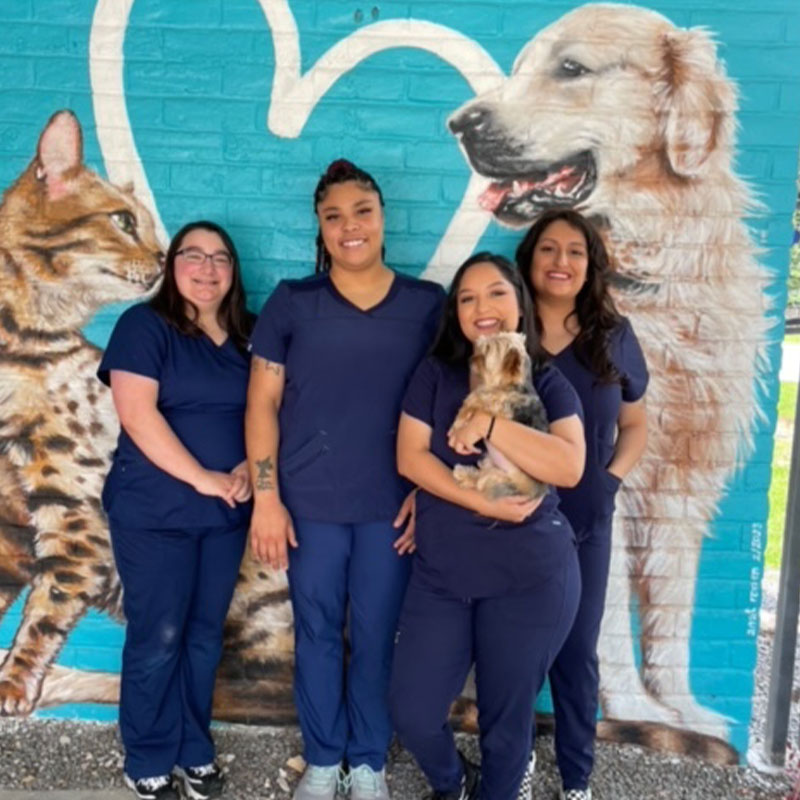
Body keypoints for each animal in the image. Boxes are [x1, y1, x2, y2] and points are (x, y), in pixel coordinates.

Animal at [454, 332, 548, 500]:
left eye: (487, 351)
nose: (470, 360)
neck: (510, 385)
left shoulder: (502, 408)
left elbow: (477, 397)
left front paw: (460, 418)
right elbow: (481, 394)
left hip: (508, 477)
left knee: (483, 481)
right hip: (490, 462)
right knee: (480, 474)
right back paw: (463, 474)